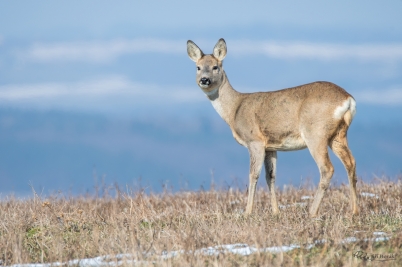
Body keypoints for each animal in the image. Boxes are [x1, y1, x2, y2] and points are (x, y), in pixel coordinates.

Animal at [187, 38, 360, 218]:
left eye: (216, 66)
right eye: (198, 67)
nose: (204, 80)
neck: (234, 109)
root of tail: (348, 99)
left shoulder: (254, 140)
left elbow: (253, 174)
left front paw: (247, 212)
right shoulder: (271, 146)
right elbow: (270, 176)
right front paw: (276, 211)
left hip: (315, 133)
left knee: (327, 168)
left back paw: (312, 212)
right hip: (338, 135)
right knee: (351, 162)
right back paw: (354, 210)